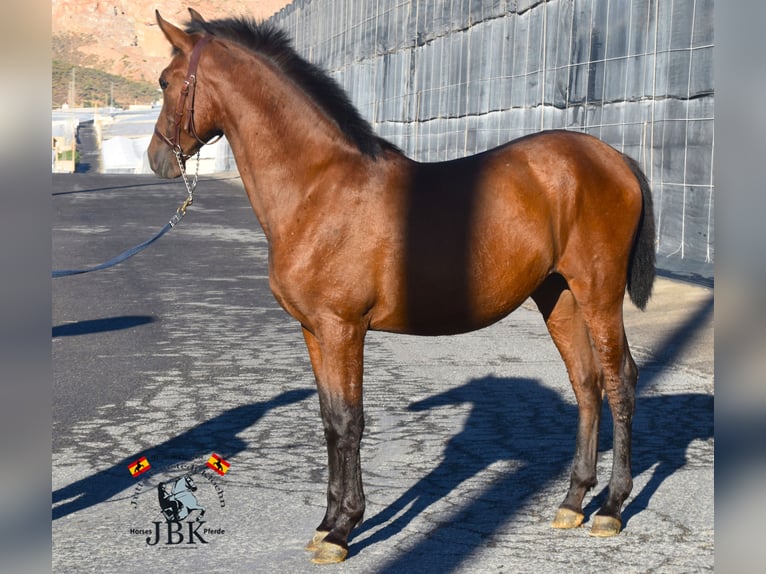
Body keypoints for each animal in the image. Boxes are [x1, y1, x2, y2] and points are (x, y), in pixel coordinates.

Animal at [148, 9, 656, 568]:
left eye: (166, 81)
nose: (156, 159)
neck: (318, 189)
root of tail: (615, 159)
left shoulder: (344, 329)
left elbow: (350, 420)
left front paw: (343, 530)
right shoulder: (314, 332)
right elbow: (329, 421)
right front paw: (326, 524)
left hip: (598, 292)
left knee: (620, 381)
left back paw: (610, 507)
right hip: (558, 296)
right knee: (586, 383)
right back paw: (572, 502)